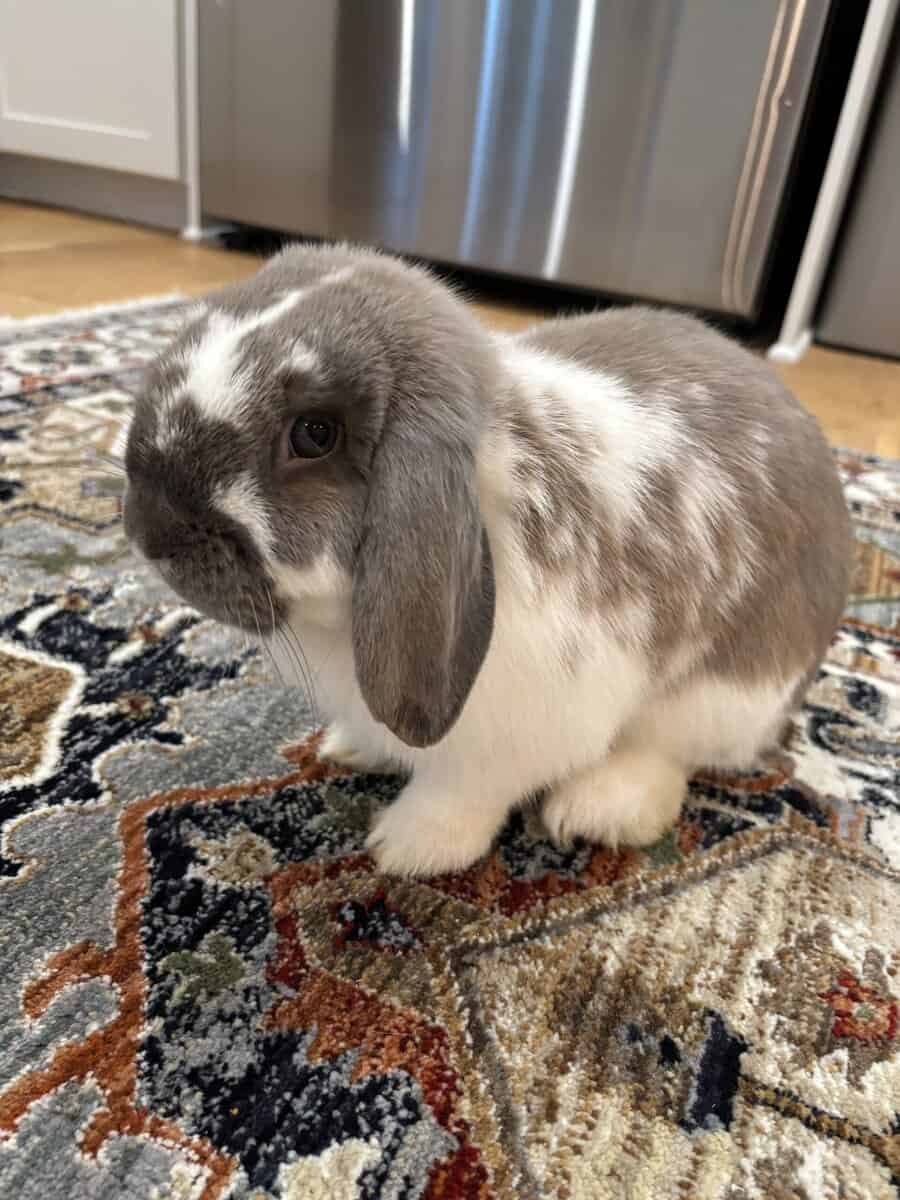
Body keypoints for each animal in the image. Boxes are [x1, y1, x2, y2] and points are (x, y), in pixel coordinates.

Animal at [123, 242, 851, 877]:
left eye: (313, 434)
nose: (149, 527)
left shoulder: (509, 734)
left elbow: (461, 794)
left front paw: (405, 850)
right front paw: (354, 746)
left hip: (723, 695)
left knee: (672, 752)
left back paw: (598, 810)